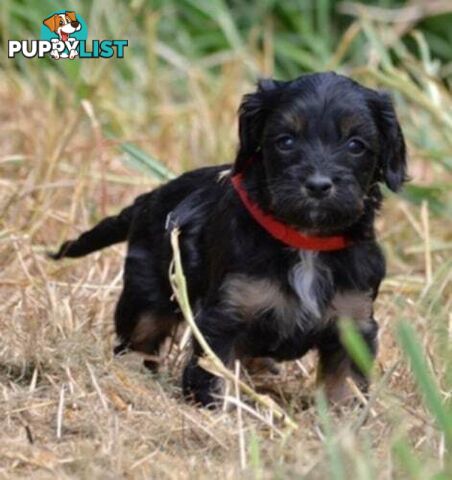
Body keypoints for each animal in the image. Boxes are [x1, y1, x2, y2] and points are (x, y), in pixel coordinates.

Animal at [51, 73, 408, 406]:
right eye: (286, 141)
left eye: (356, 145)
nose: (318, 185)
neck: (305, 241)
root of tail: (149, 198)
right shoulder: (225, 316)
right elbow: (214, 378)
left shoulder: (354, 322)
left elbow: (345, 387)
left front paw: (343, 426)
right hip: (147, 294)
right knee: (139, 337)